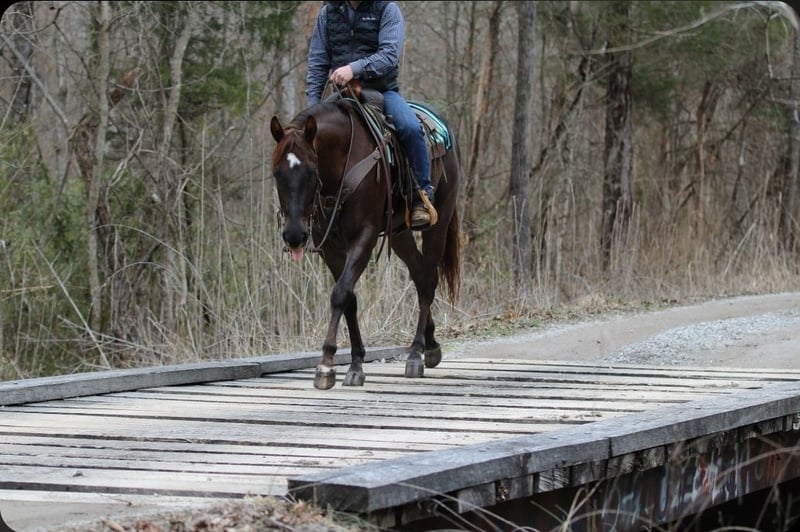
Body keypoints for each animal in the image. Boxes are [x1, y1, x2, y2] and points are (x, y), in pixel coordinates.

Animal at [269, 92, 461, 390]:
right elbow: (349, 298)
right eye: (277, 173)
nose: (294, 235)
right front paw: (356, 364)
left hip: (438, 222)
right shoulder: (330, 248)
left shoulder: (365, 236)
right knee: (419, 274)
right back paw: (430, 345)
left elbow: (340, 294)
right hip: (400, 234)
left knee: (429, 279)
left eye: (311, 171)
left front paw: (326, 365)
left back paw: (416, 353)